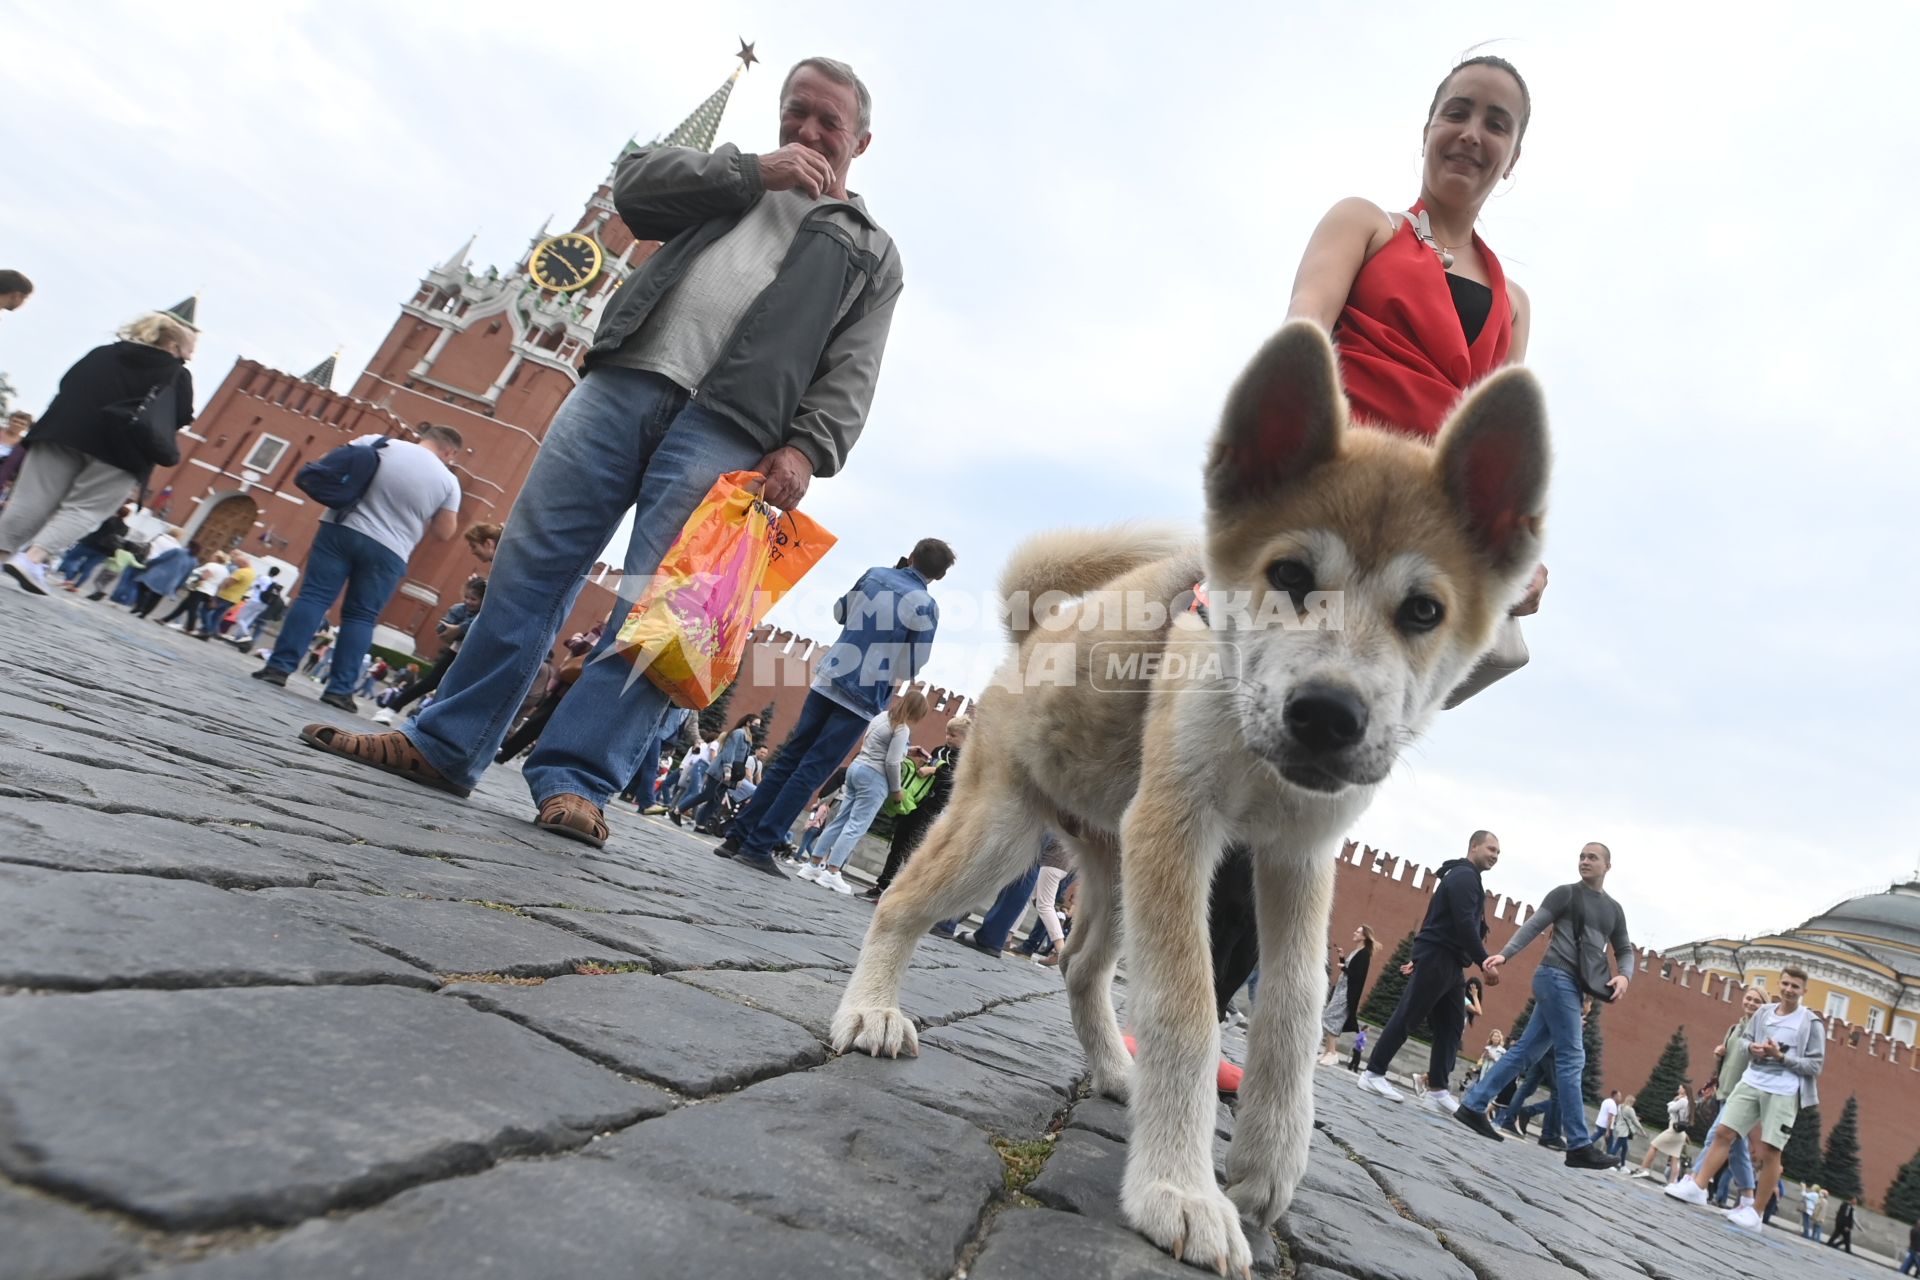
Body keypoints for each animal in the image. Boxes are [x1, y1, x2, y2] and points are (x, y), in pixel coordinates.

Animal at [833, 320, 1551, 1274]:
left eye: (1424, 611)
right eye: (1289, 573)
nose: (1328, 714)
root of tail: (1036, 632)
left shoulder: (1298, 859)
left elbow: (1291, 1009)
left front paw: (1266, 1163)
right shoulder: (1180, 829)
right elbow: (1188, 1007)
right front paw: (1178, 1189)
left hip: (1114, 868)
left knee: (1079, 965)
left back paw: (1113, 1070)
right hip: (1003, 833)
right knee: (905, 899)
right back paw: (871, 1009)